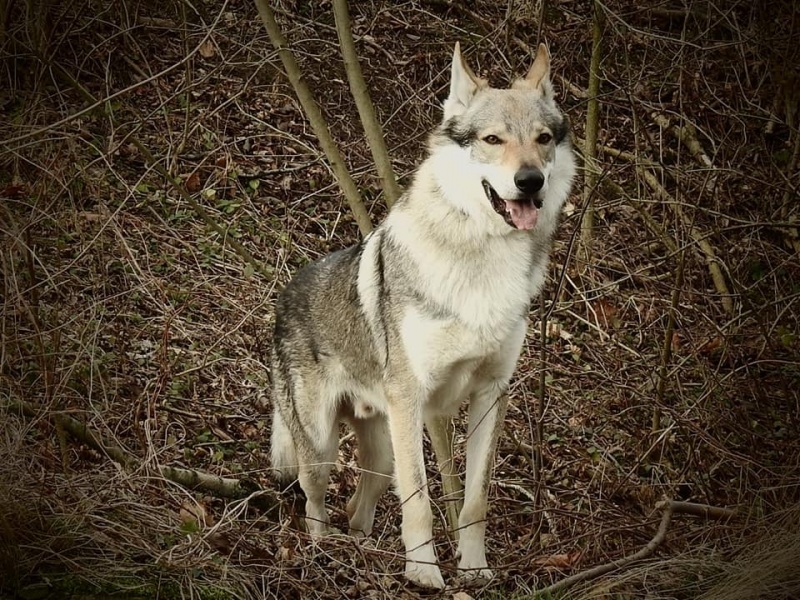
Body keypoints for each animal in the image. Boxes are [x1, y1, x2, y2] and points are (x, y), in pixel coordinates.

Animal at [270, 43, 576, 592]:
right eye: (492, 140)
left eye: (543, 140)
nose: (530, 181)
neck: (483, 261)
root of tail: (283, 294)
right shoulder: (411, 398)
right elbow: (421, 504)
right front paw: (424, 574)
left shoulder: (490, 393)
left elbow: (473, 502)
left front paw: (474, 571)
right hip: (324, 446)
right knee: (314, 502)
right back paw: (323, 555)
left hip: (382, 449)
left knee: (360, 503)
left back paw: (362, 552)